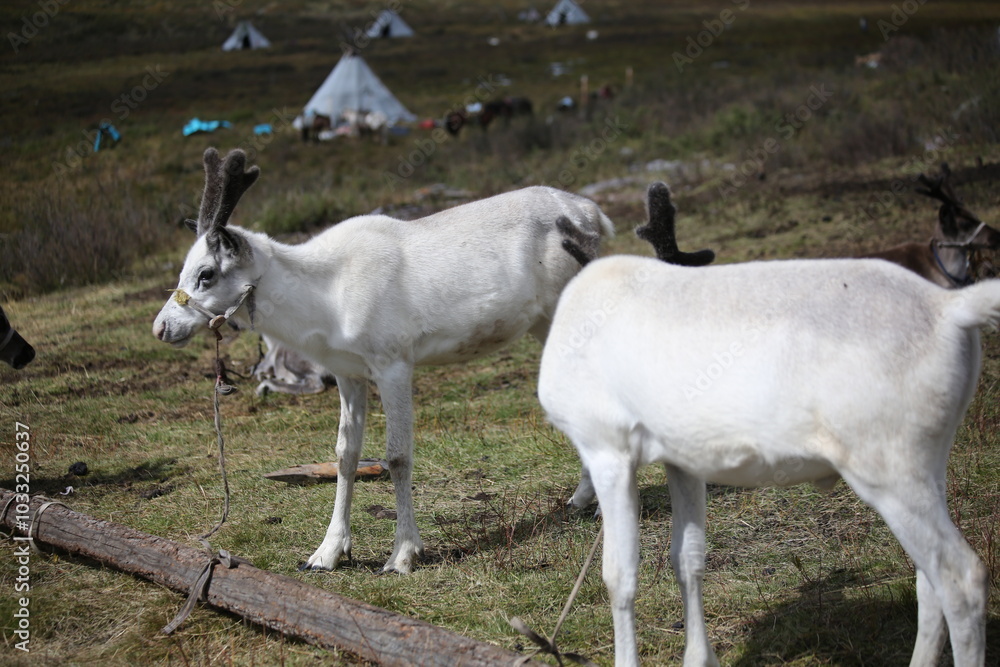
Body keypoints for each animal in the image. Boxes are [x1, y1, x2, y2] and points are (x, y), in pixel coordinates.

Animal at [152, 147, 615, 574]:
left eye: (206, 273)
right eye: (183, 269)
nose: (161, 328)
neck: (324, 299)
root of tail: (595, 214)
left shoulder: (393, 362)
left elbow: (397, 455)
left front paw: (403, 554)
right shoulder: (347, 372)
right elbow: (345, 454)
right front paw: (326, 553)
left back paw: (595, 505)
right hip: (543, 323)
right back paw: (579, 499)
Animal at [541, 182, 995, 666]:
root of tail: (952, 308)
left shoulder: (605, 447)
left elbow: (619, 575)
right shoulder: (681, 460)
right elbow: (688, 558)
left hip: (889, 468)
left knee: (962, 578)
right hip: (931, 463)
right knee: (928, 581)